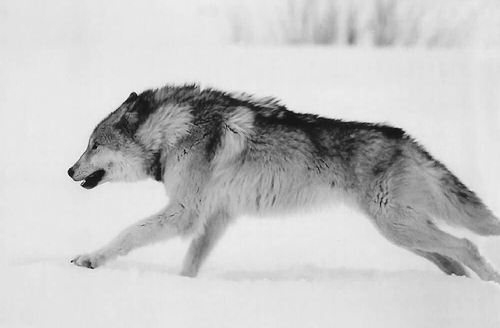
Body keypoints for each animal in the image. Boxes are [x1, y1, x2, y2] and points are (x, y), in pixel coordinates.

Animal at [68, 84, 500, 282]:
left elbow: (127, 234)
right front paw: (185, 286)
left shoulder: (184, 212)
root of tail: (404, 139)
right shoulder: (217, 216)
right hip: (404, 235)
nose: (69, 171)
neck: (172, 133)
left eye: (93, 145)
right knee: (452, 259)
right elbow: (191, 261)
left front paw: (89, 259)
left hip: (399, 227)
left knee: (467, 245)